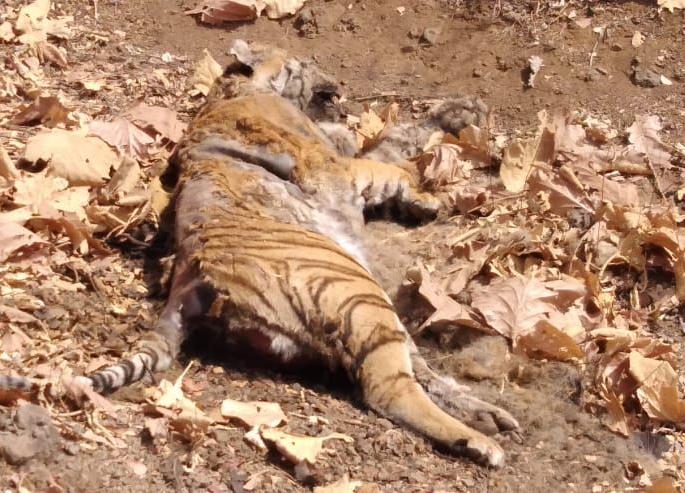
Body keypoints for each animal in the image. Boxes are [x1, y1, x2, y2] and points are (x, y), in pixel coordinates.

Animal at [0, 39, 518, 467]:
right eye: (303, 63)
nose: (335, 81)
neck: (233, 89)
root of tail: (189, 278)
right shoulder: (338, 166)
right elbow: (390, 161)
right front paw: (430, 195)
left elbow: (398, 139)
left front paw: (457, 117)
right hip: (357, 292)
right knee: (390, 390)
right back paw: (482, 443)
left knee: (422, 373)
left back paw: (491, 417)